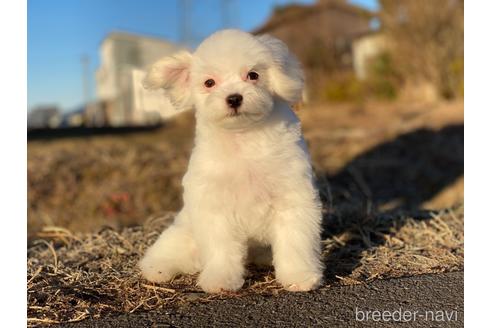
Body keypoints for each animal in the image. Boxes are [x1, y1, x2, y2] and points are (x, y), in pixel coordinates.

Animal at [138, 29, 322, 294]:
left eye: (253, 75)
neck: (243, 138)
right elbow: (221, 249)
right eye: (209, 83)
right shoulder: (215, 207)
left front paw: (299, 276)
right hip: (184, 234)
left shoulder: (292, 198)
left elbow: (295, 241)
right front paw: (220, 280)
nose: (234, 98)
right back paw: (157, 268)